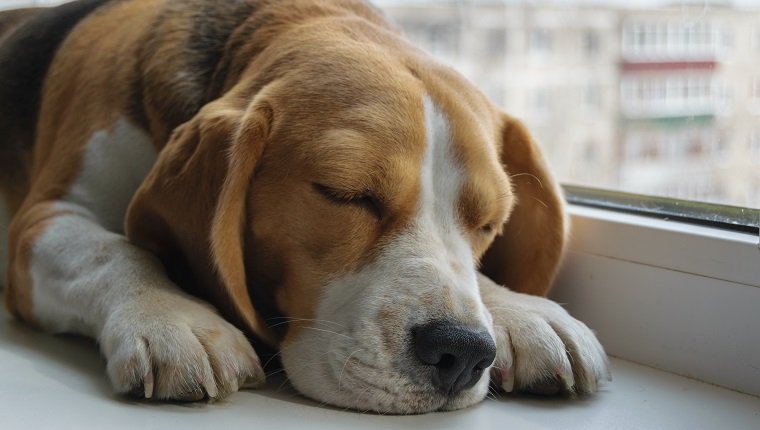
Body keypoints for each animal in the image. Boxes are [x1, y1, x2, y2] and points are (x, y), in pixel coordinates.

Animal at [0, 0, 604, 414]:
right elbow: (113, 250)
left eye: (487, 223)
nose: (461, 351)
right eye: (344, 193)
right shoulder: (43, 222)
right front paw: (173, 318)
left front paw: (521, 311)